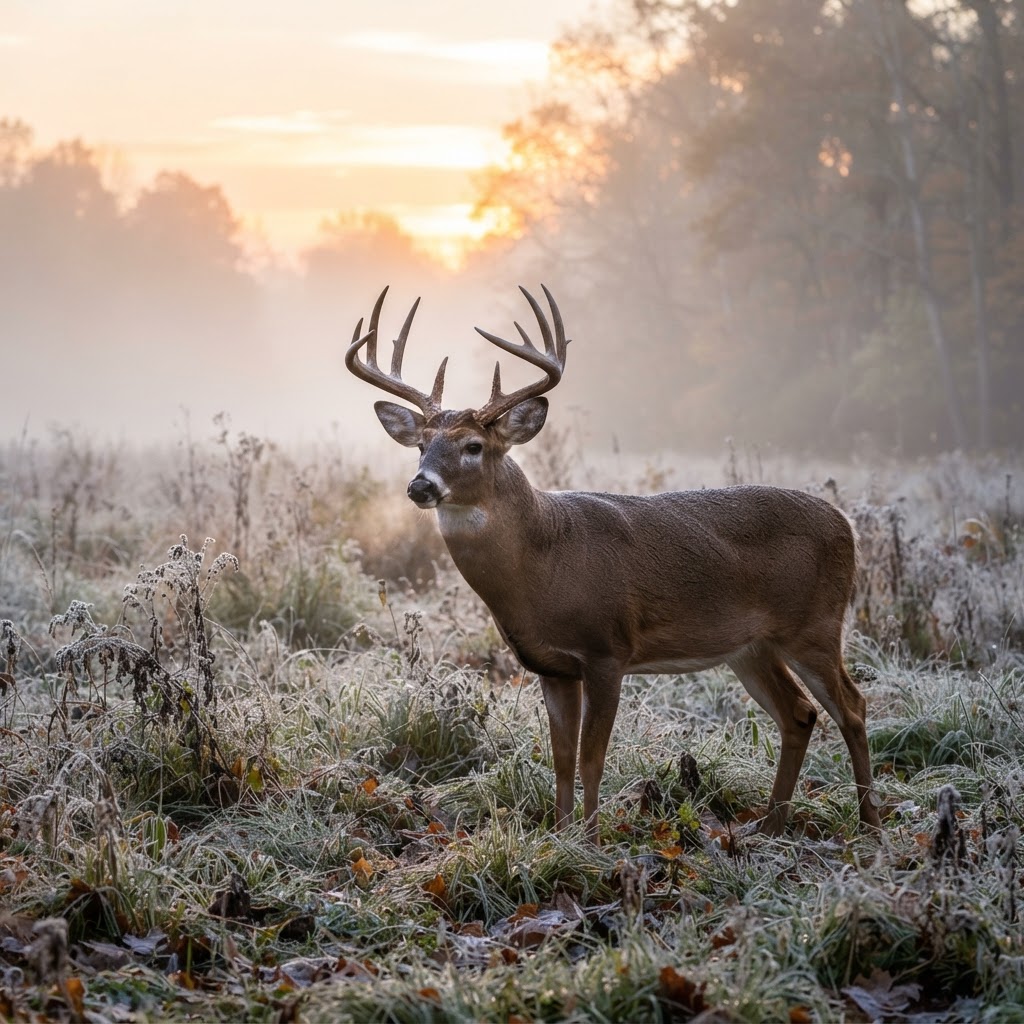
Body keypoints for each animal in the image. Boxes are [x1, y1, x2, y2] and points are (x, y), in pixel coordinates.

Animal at [345, 285, 882, 841]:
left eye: (473, 445)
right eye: (421, 446)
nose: (420, 485)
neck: (545, 564)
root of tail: (846, 524)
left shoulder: (608, 649)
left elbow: (592, 758)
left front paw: (592, 839)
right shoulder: (551, 665)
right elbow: (560, 759)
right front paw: (560, 837)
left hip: (815, 625)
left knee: (853, 706)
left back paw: (869, 822)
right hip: (751, 646)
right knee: (799, 713)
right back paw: (772, 825)